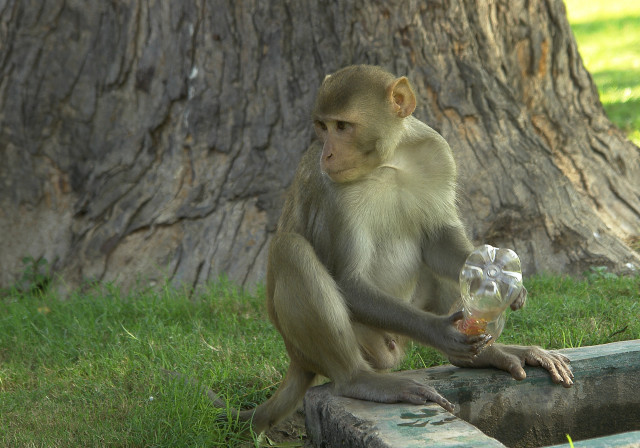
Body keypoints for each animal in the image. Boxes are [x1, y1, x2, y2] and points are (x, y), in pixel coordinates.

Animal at [234, 65, 573, 434]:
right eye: (323, 127)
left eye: (342, 126)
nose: (327, 153)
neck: (390, 162)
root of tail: (295, 358)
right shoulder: (334, 191)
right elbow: (349, 280)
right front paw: (440, 331)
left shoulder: (437, 153)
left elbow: (439, 239)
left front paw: (504, 285)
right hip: (358, 342)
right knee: (291, 249)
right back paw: (360, 380)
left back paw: (484, 355)